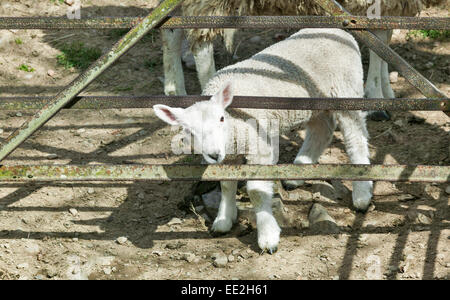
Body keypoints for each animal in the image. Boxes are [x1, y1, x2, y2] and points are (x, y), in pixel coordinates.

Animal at [155, 28, 372, 253]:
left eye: (221, 118)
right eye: (189, 130)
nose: (214, 154)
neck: (234, 123)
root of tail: (338, 31)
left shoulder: (260, 148)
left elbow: (256, 191)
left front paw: (268, 236)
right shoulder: (229, 154)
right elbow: (226, 184)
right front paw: (224, 219)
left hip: (347, 93)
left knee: (355, 137)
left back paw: (362, 193)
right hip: (315, 103)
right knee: (322, 130)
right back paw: (298, 172)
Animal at [161, 1, 446, 120]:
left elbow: (384, 40)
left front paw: (387, 90)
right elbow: (378, 43)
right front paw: (375, 97)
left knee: (170, 28)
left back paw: (174, 89)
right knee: (201, 43)